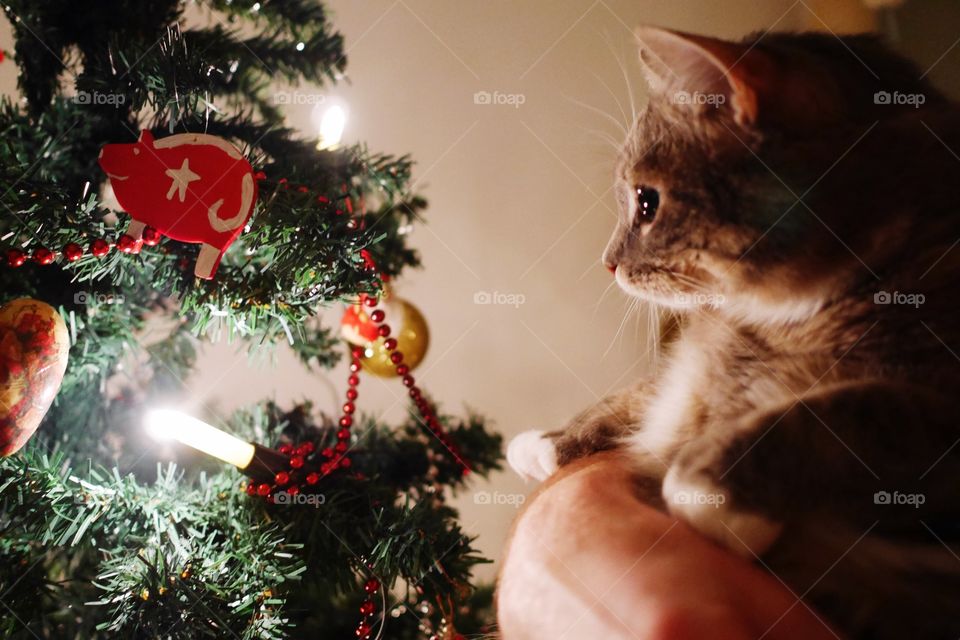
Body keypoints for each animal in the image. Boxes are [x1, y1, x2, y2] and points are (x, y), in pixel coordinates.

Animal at [512, 26, 960, 640]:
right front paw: (550, 443)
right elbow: (641, 394)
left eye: (646, 202)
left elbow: (833, 413)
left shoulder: (935, 402)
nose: (607, 263)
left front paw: (709, 493)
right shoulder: (688, 367)